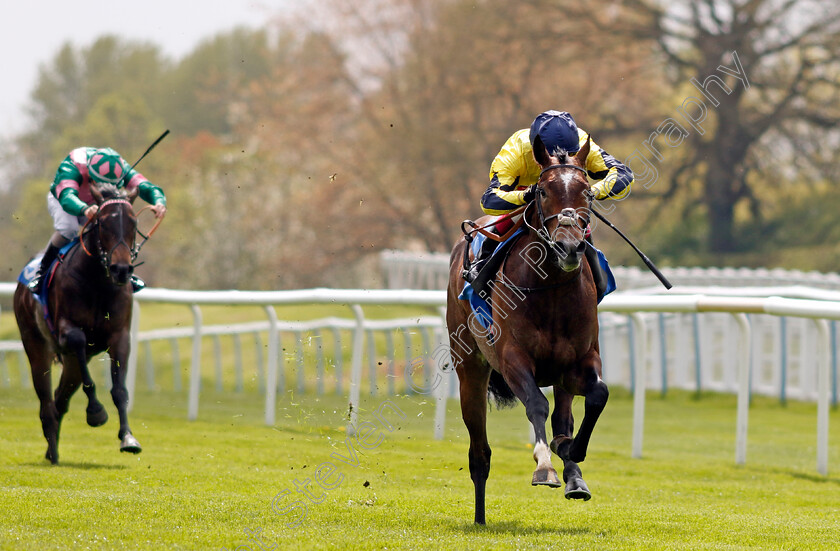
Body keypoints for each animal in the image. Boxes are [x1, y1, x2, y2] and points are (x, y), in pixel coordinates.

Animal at [14, 183, 144, 464]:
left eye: (133, 221)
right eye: (103, 223)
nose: (121, 269)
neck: (98, 282)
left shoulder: (120, 336)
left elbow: (120, 389)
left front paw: (128, 438)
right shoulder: (67, 332)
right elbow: (78, 342)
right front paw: (95, 411)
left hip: (72, 363)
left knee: (59, 399)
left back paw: (52, 445)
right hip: (36, 346)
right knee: (45, 400)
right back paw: (52, 451)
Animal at [446, 138, 612, 528]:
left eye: (587, 192)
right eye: (545, 191)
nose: (569, 247)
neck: (551, 288)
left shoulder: (580, 360)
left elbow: (597, 395)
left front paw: (569, 450)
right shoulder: (512, 359)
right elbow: (536, 403)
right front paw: (544, 467)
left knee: (564, 415)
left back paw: (574, 476)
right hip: (469, 369)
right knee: (479, 451)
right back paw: (480, 517)